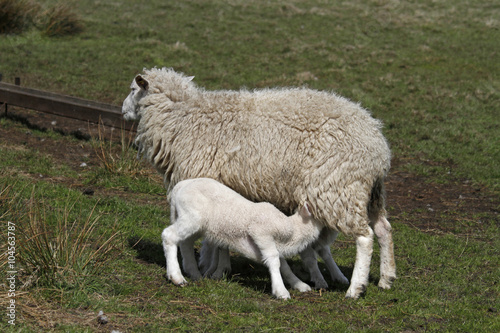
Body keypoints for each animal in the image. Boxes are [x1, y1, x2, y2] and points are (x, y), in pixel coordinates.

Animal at [163, 178, 320, 300]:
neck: (291, 230)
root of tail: (180, 186)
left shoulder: (270, 244)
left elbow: (284, 265)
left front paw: (299, 285)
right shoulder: (261, 233)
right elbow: (275, 260)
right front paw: (281, 291)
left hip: (197, 224)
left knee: (185, 243)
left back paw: (194, 273)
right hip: (192, 217)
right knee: (168, 236)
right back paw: (177, 277)